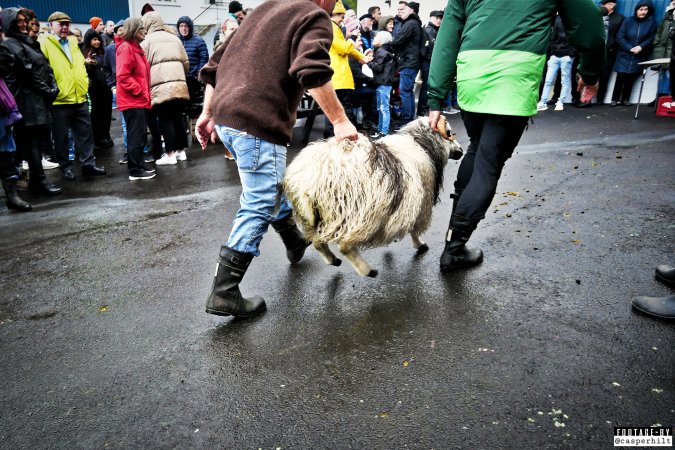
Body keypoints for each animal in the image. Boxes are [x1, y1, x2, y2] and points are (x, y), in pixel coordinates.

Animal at [282, 115, 464, 278]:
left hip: (313, 218)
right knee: (345, 246)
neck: (419, 142)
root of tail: (309, 181)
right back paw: (367, 270)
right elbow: (415, 228)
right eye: (449, 132)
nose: (461, 151)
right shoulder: (422, 202)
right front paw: (420, 244)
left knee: (317, 242)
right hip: (360, 214)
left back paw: (333, 260)